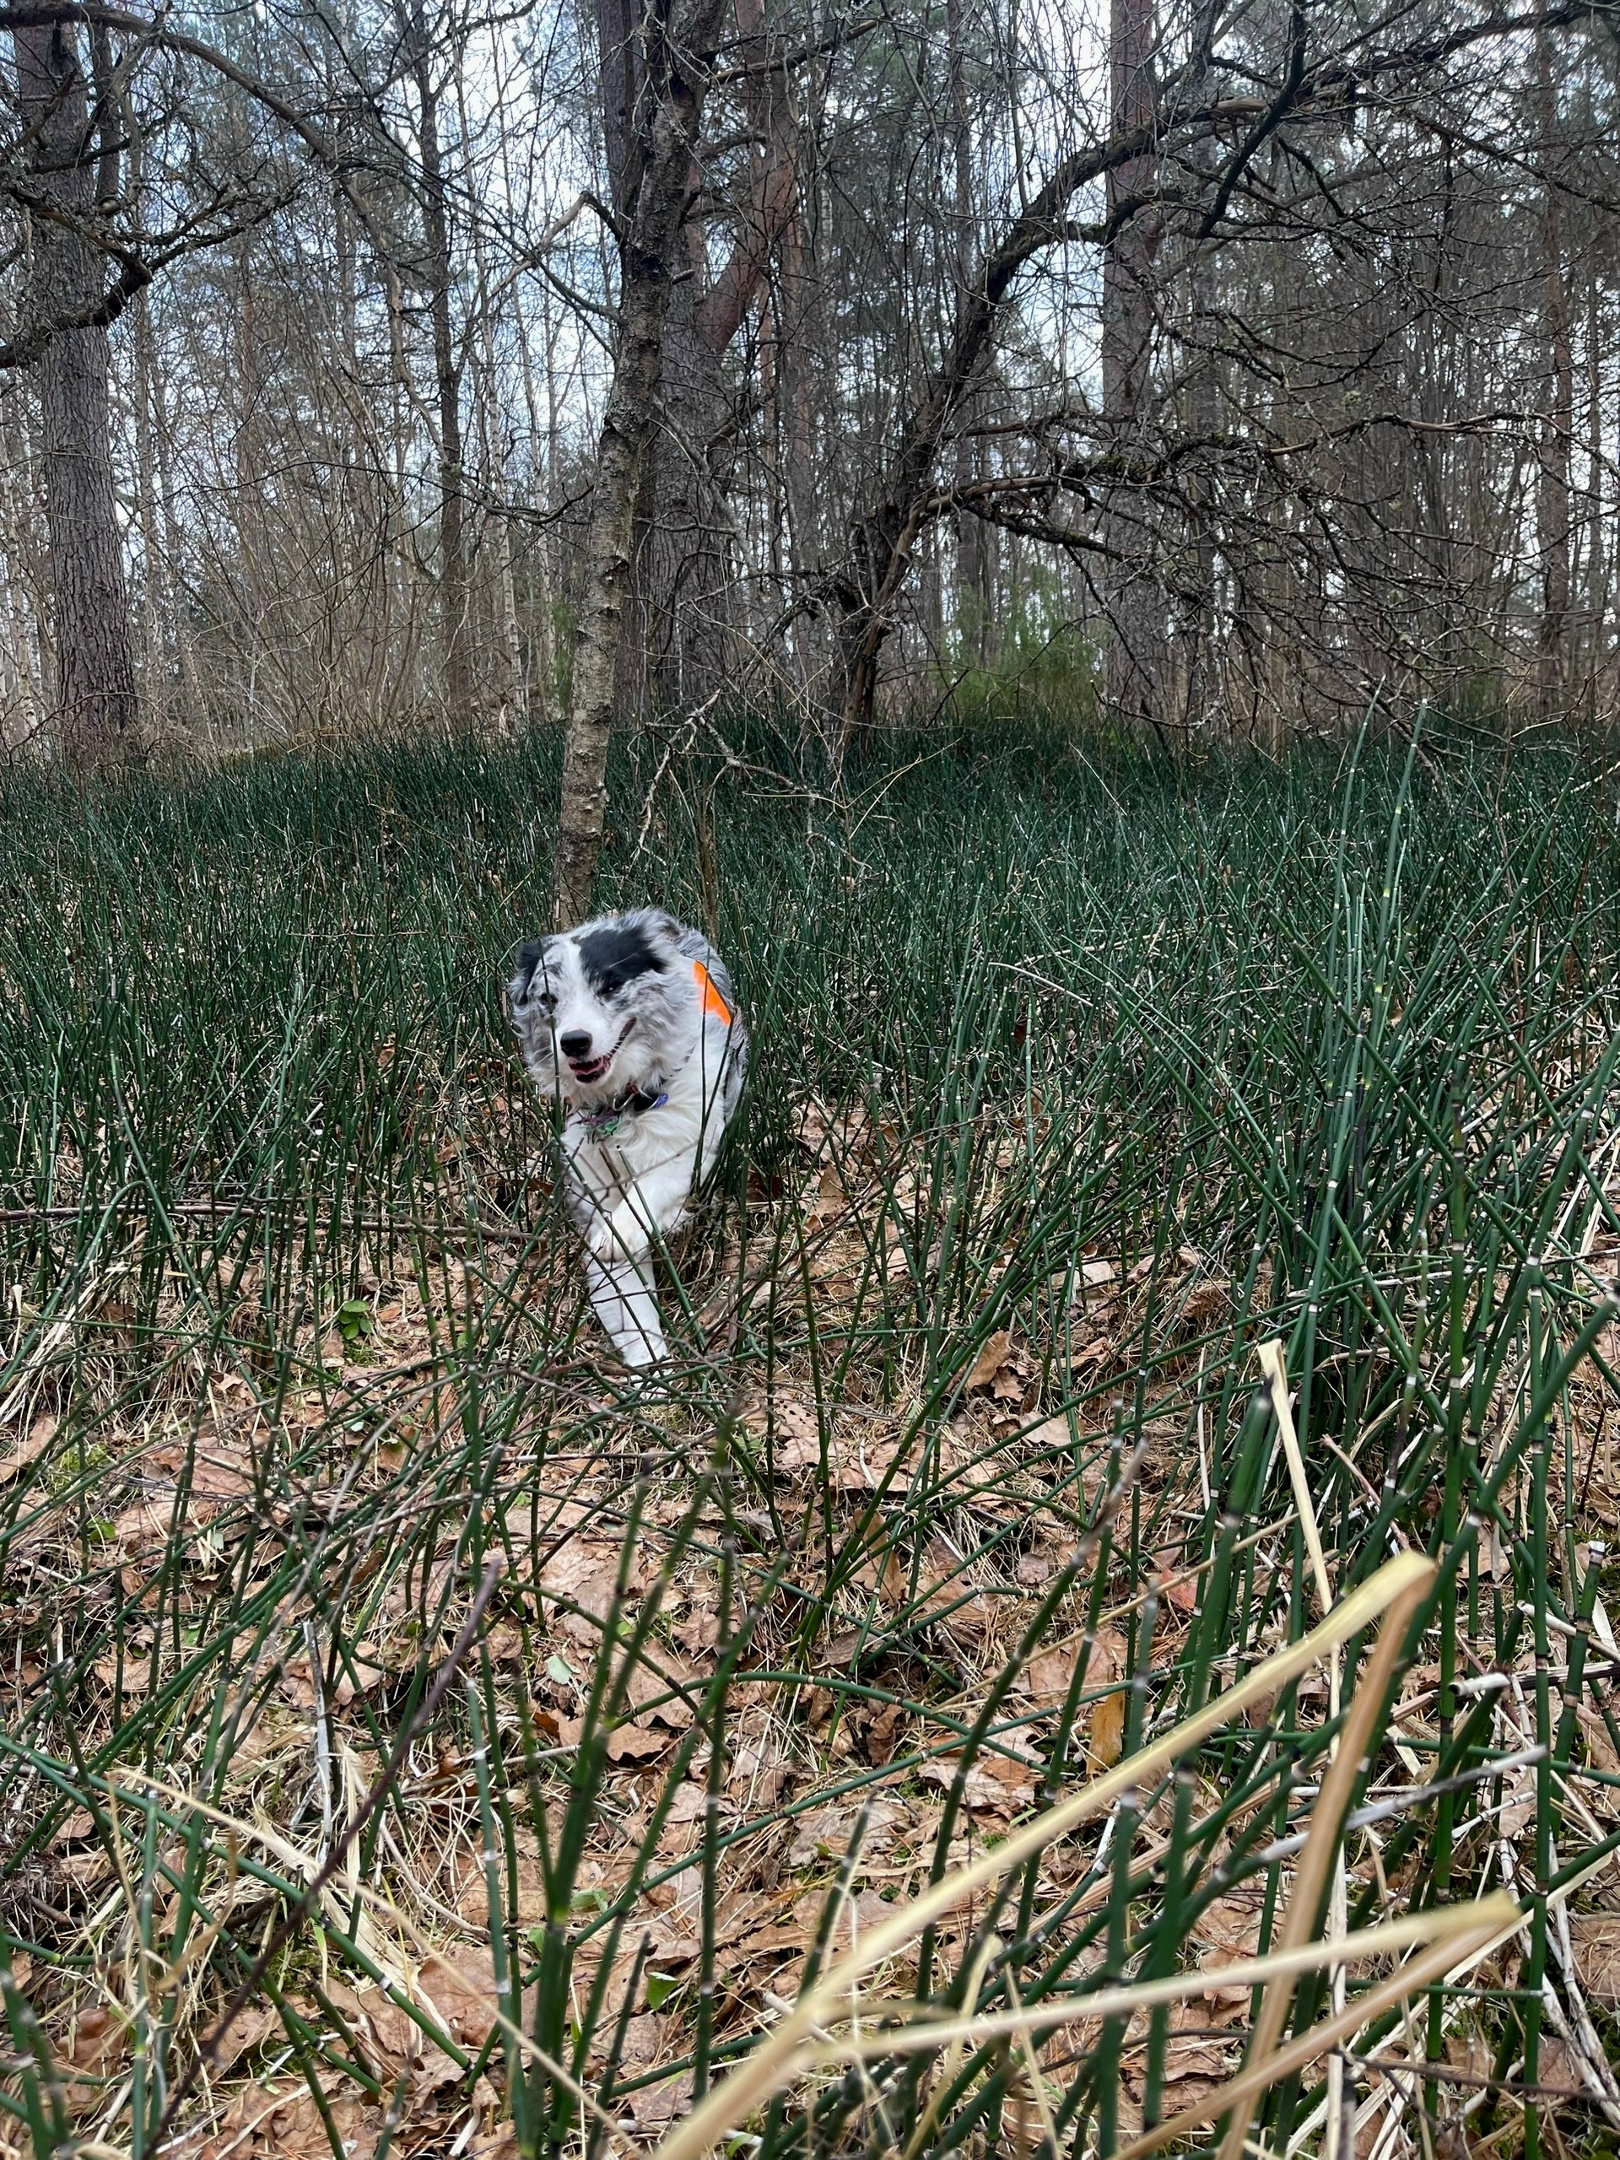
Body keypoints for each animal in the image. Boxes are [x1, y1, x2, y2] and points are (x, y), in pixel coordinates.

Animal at [509, 909, 748, 1367]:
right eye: (548, 999)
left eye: (610, 985)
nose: (574, 1042)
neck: (622, 1102)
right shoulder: (586, 1171)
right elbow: (628, 1302)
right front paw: (652, 1369)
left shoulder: (692, 1138)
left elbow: (651, 1191)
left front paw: (623, 1229)